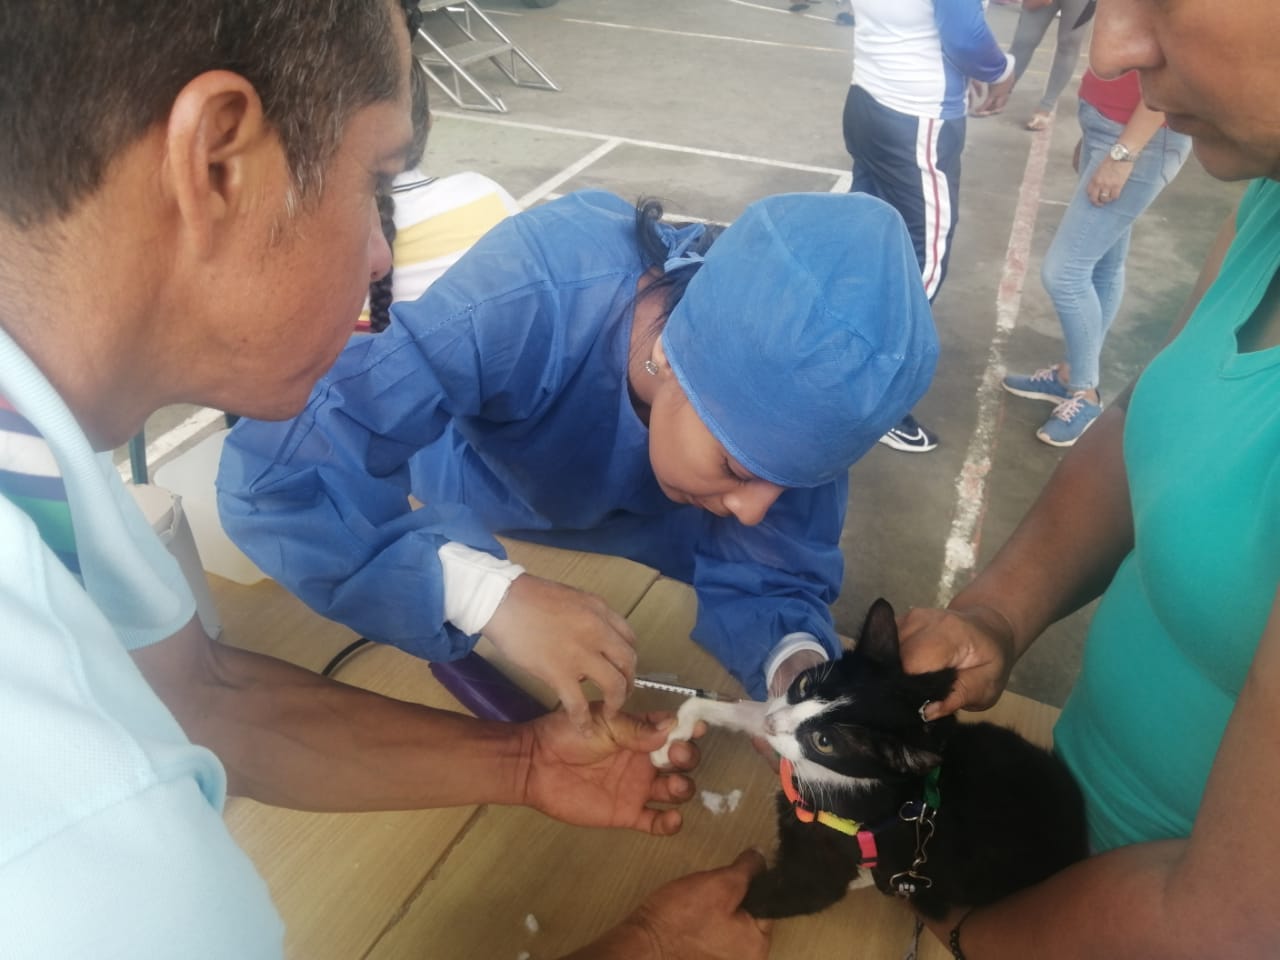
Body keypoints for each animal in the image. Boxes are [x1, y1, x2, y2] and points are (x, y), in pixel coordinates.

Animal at [652, 598, 1089, 920]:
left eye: (825, 741)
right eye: (804, 684)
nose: (774, 723)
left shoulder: (828, 855)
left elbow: (794, 891)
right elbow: (728, 710)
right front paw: (669, 741)